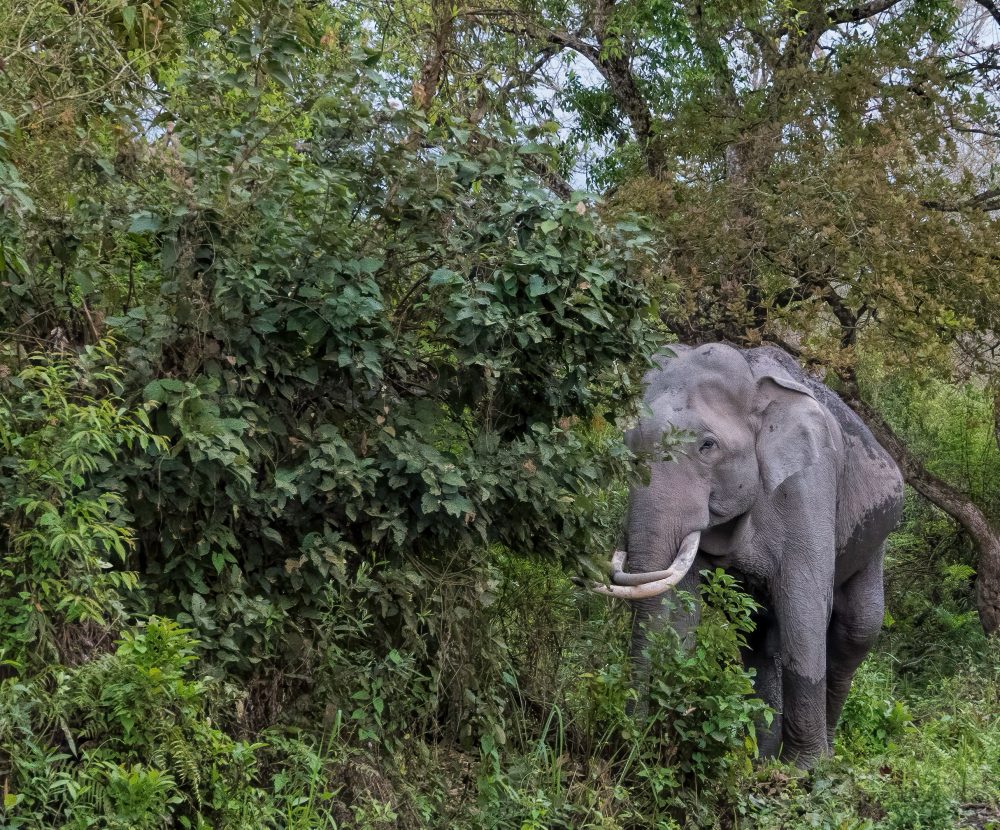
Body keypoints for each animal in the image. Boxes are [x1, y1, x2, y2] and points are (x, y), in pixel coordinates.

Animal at [584, 342, 904, 768]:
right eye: (628, 441)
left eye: (707, 446)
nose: (627, 746)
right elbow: (683, 604)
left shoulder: (810, 482)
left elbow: (804, 603)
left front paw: (807, 772)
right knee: (760, 637)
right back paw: (762, 761)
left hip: (875, 532)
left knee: (856, 629)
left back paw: (822, 755)